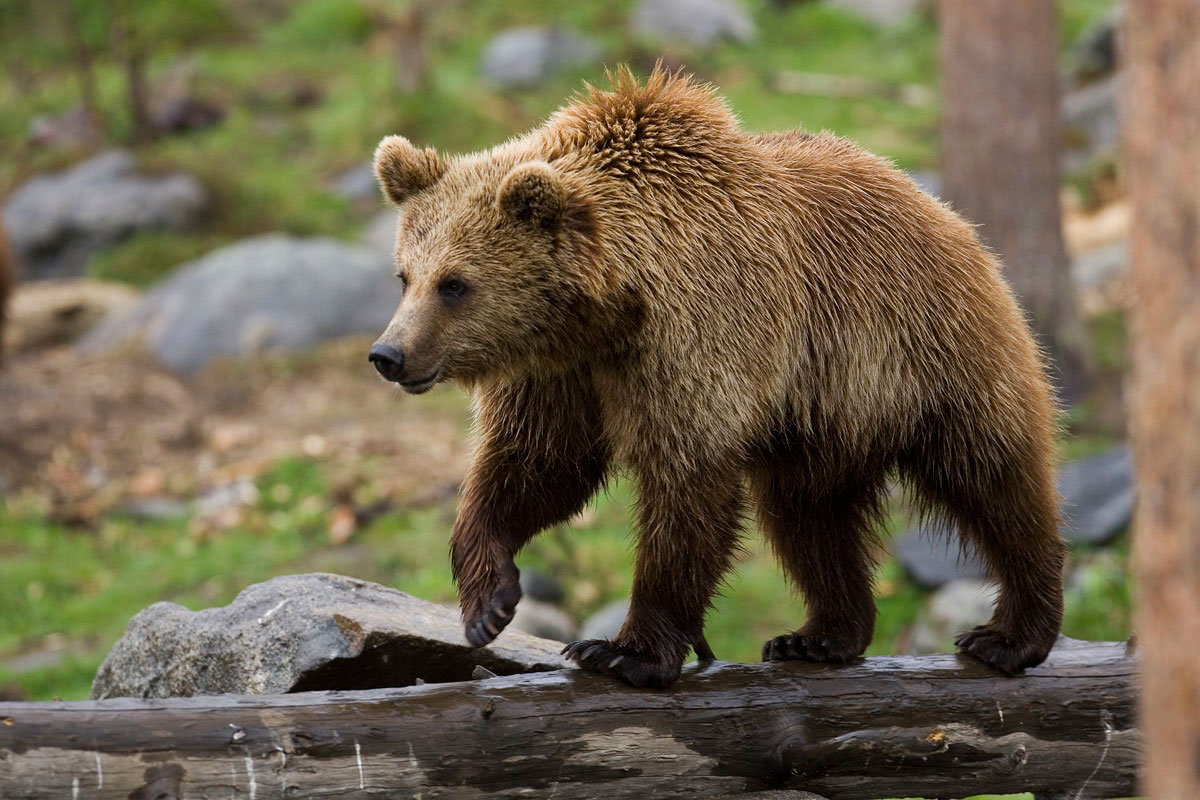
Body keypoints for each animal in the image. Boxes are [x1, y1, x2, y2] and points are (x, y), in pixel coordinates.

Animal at [369, 67, 1065, 690]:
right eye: (405, 276)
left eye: (455, 284)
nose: (388, 354)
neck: (611, 307)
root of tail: (943, 211)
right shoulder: (565, 372)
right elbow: (537, 463)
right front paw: (488, 602)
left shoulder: (698, 335)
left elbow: (685, 483)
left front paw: (622, 651)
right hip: (821, 416)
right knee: (806, 516)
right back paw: (821, 634)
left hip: (927, 352)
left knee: (993, 478)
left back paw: (1011, 633)